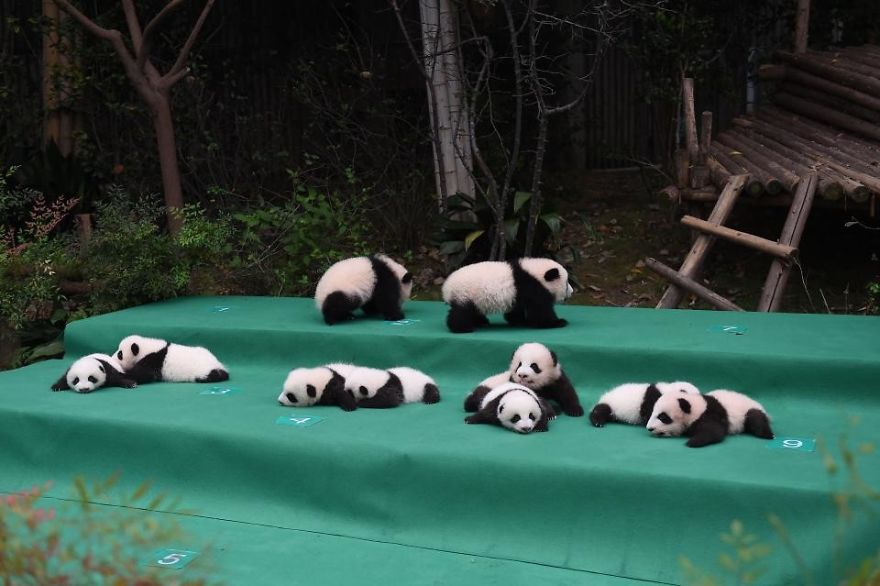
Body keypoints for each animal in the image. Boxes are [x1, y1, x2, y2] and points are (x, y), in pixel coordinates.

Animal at [441, 258, 573, 333]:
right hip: (465, 293)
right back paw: (463, 328)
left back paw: (481, 322)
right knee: (461, 312)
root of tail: (447, 287)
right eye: (567, 282)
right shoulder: (530, 286)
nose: (572, 292)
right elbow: (540, 310)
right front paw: (558, 322)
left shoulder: (517, 293)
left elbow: (517, 309)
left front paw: (520, 321)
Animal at [646, 388, 774, 448]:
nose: (649, 428)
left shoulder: (710, 414)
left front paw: (692, 442)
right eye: (652, 413)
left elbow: (714, 431)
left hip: (747, 411)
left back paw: (768, 435)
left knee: (756, 420)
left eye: (663, 417)